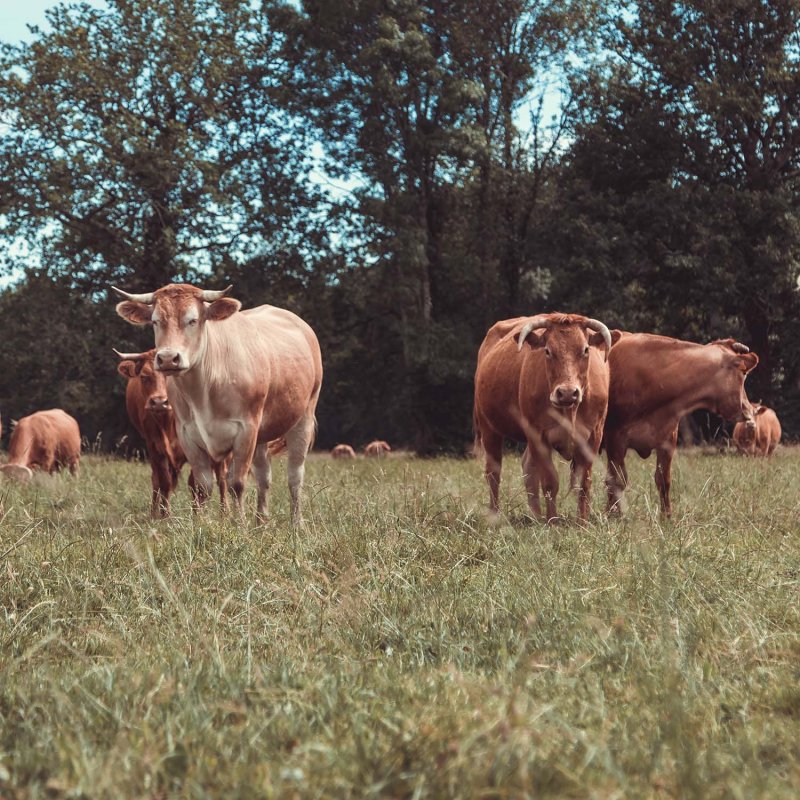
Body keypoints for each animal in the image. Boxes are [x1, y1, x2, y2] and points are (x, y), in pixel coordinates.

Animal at [115, 282, 322, 524]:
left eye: (193, 320)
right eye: (155, 321)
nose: (167, 358)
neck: (204, 389)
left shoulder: (245, 431)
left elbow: (237, 483)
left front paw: (240, 525)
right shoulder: (188, 435)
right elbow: (202, 486)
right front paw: (203, 525)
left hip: (303, 419)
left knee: (295, 476)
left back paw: (296, 522)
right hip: (262, 434)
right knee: (264, 476)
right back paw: (261, 522)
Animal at [472, 316, 616, 520]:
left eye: (586, 349)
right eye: (547, 351)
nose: (567, 393)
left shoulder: (594, 436)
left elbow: (584, 482)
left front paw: (582, 521)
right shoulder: (538, 435)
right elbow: (550, 481)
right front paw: (553, 520)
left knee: (528, 467)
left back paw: (535, 516)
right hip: (489, 428)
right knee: (494, 472)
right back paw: (495, 515)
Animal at [604, 334, 760, 516]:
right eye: (744, 374)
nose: (750, 410)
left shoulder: (668, 442)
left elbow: (663, 480)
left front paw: (667, 517)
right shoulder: (615, 439)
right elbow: (617, 480)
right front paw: (614, 515)